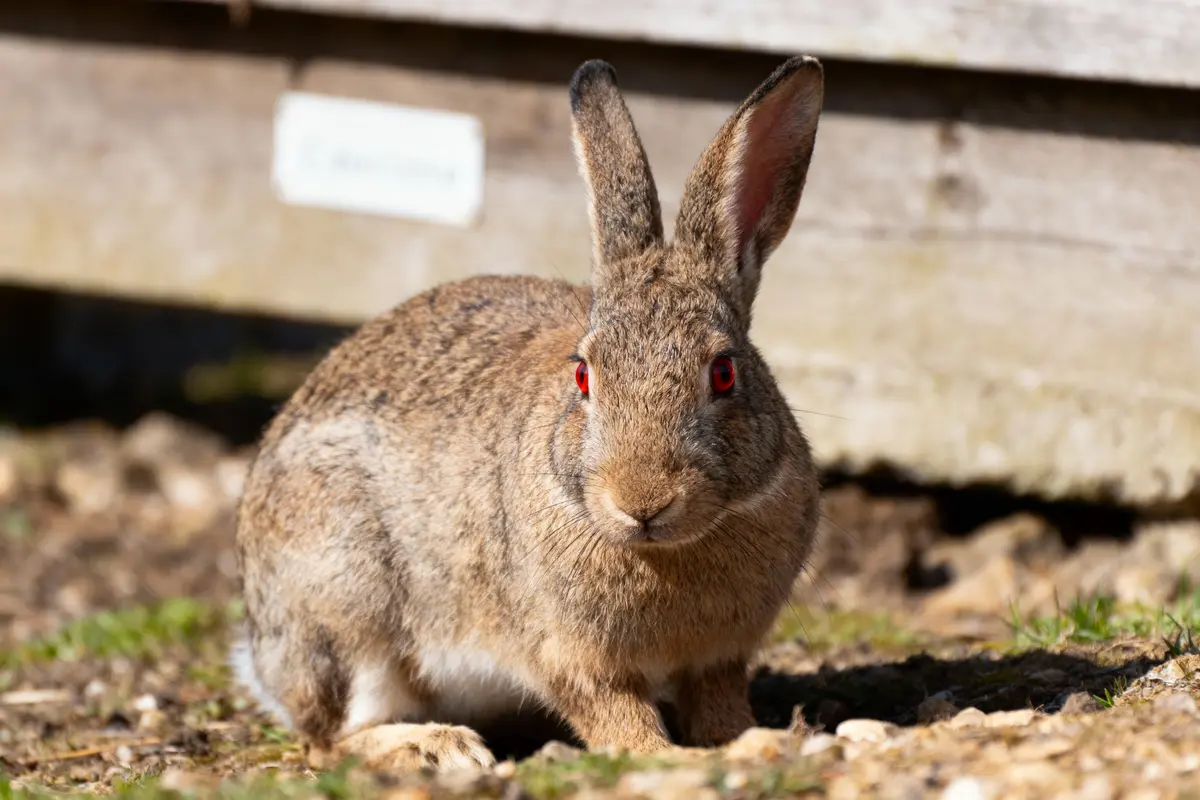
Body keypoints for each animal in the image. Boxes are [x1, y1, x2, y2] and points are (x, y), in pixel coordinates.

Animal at [232, 54, 825, 773]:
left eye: (723, 372)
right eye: (583, 376)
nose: (643, 501)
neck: (665, 550)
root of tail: (262, 658)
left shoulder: (717, 659)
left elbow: (717, 705)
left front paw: (750, 739)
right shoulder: (569, 655)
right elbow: (613, 713)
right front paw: (668, 757)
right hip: (347, 601)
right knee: (330, 737)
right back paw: (438, 746)